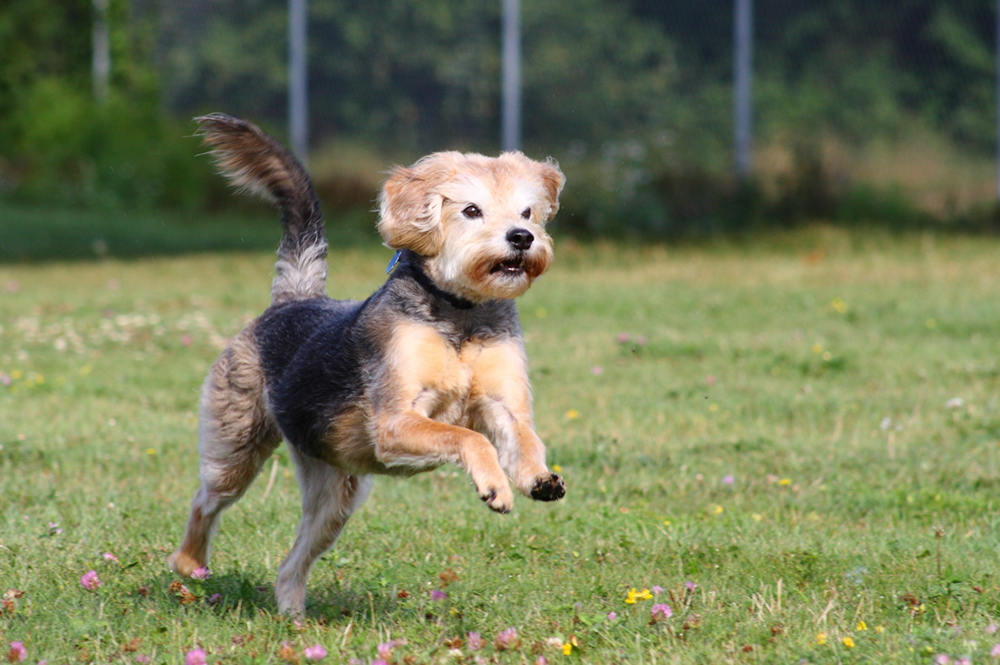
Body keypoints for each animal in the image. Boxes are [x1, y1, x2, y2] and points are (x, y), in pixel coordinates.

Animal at [168, 113, 568, 612]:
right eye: (472, 210)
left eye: (527, 212)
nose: (522, 237)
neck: (460, 314)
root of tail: (293, 298)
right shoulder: (395, 422)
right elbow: (469, 438)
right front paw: (495, 485)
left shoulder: (503, 404)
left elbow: (525, 438)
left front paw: (539, 478)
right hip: (236, 448)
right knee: (204, 502)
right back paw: (188, 563)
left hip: (335, 497)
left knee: (291, 563)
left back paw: (292, 616)